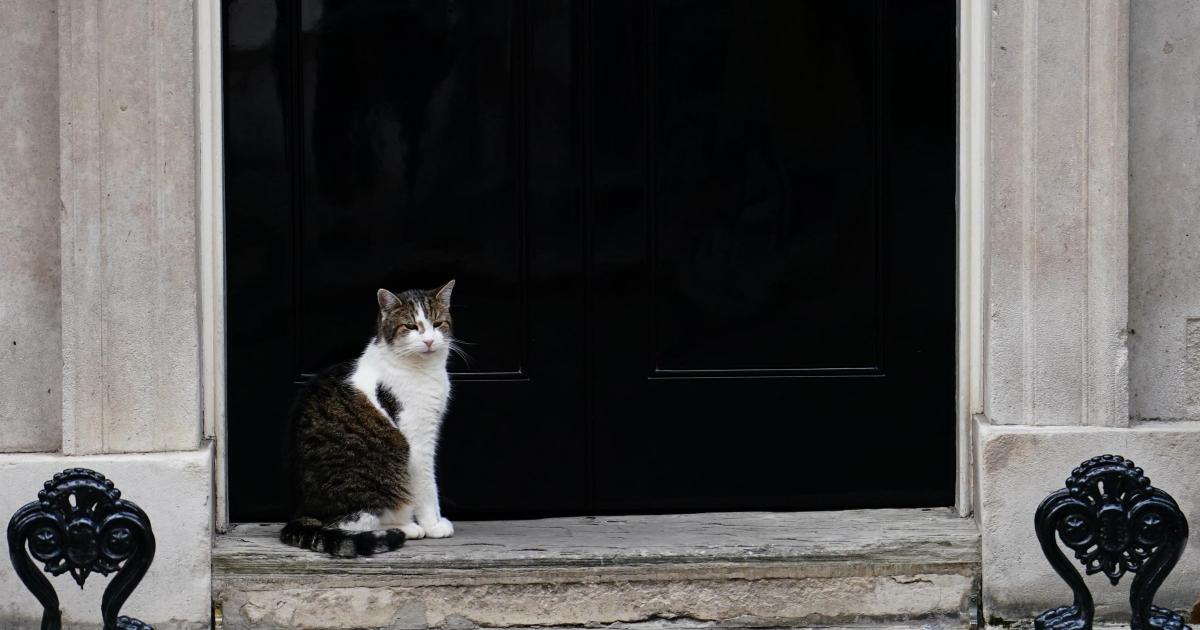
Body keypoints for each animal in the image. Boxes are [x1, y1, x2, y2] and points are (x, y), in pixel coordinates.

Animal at [278, 279, 456, 554]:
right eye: (410, 326)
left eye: (437, 324)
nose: (428, 341)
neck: (424, 370)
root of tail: (303, 511)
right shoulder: (418, 441)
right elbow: (428, 486)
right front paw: (434, 525)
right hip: (386, 467)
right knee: (351, 523)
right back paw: (406, 528)